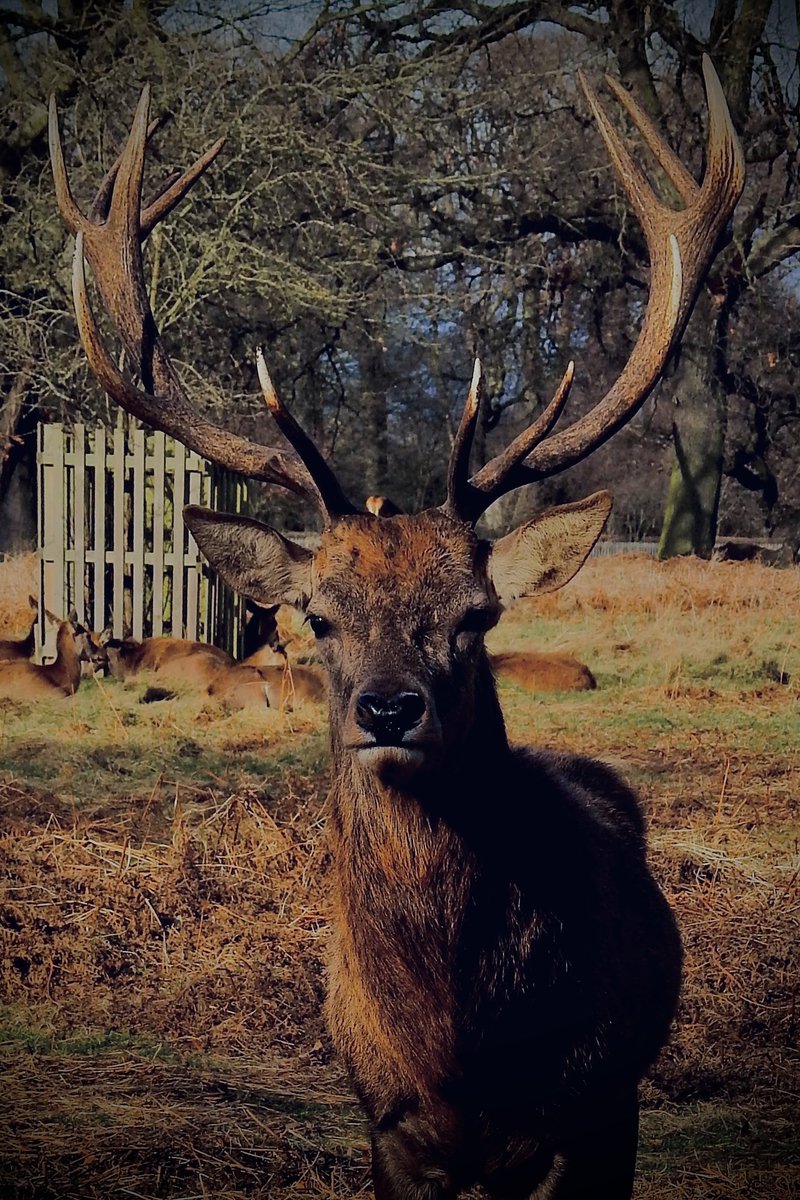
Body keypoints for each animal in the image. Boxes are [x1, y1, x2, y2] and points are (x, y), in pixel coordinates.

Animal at [51, 54, 743, 1199]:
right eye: (320, 616)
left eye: (475, 616)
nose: (387, 708)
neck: (460, 1053)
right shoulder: (388, 1130)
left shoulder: (583, 1117)